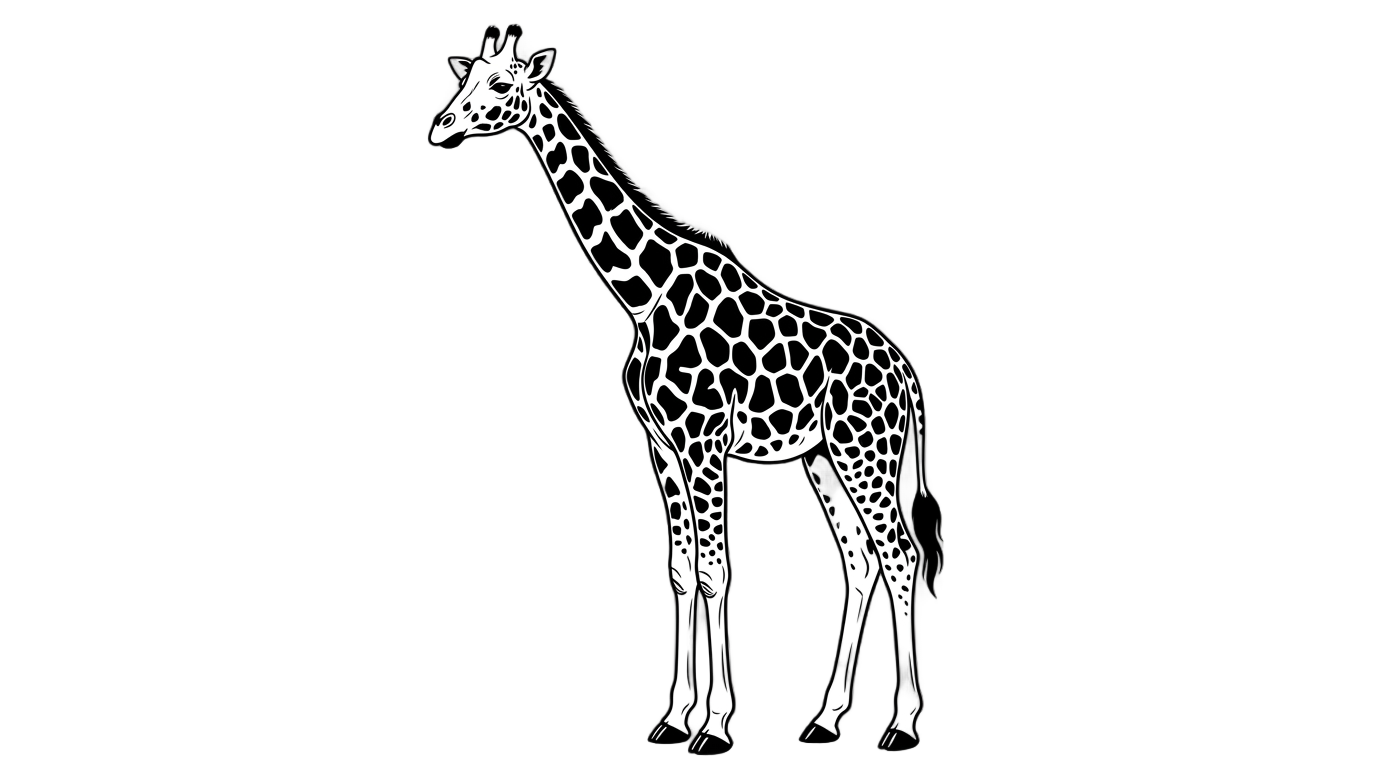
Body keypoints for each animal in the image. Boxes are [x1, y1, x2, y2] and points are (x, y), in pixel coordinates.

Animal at [428, 23, 944, 759]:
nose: (442, 128)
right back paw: (824, 721)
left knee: (899, 557)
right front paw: (675, 719)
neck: (645, 295)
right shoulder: (663, 446)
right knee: (861, 561)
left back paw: (902, 725)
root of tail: (906, 371)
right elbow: (679, 568)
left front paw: (717, 725)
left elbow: (716, 570)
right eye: (465, 77)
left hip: (866, 449)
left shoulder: (704, 444)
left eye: (500, 84)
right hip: (825, 458)